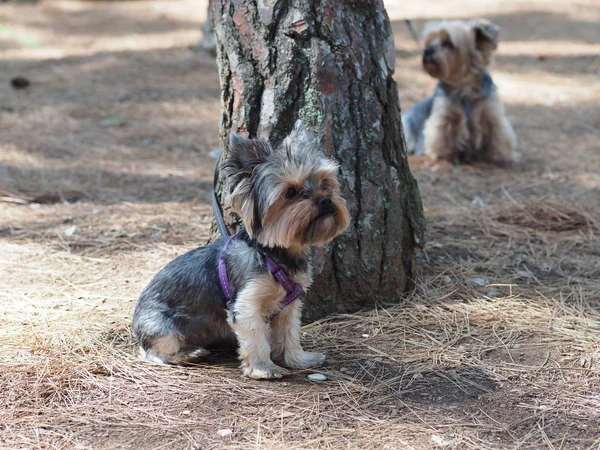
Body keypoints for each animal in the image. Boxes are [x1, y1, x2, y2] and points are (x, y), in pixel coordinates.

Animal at [131, 121, 346, 378]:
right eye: (291, 192)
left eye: (325, 183)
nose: (326, 200)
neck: (273, 254)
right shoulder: (247, 304)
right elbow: (256, 339)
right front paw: (263, 369)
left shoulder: (290, 306)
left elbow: (289, 334)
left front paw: (299, 360)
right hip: (162, 326)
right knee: (153, 352)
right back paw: (190, 353)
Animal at [400, 19, 516, 166]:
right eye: (429, 42)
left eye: (448, 43)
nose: (426, 50)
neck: (464, 87)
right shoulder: (445, 116)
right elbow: (443, 135)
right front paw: (445, 157)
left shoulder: (491, 114)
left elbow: (497, 135)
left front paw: (499, 158)